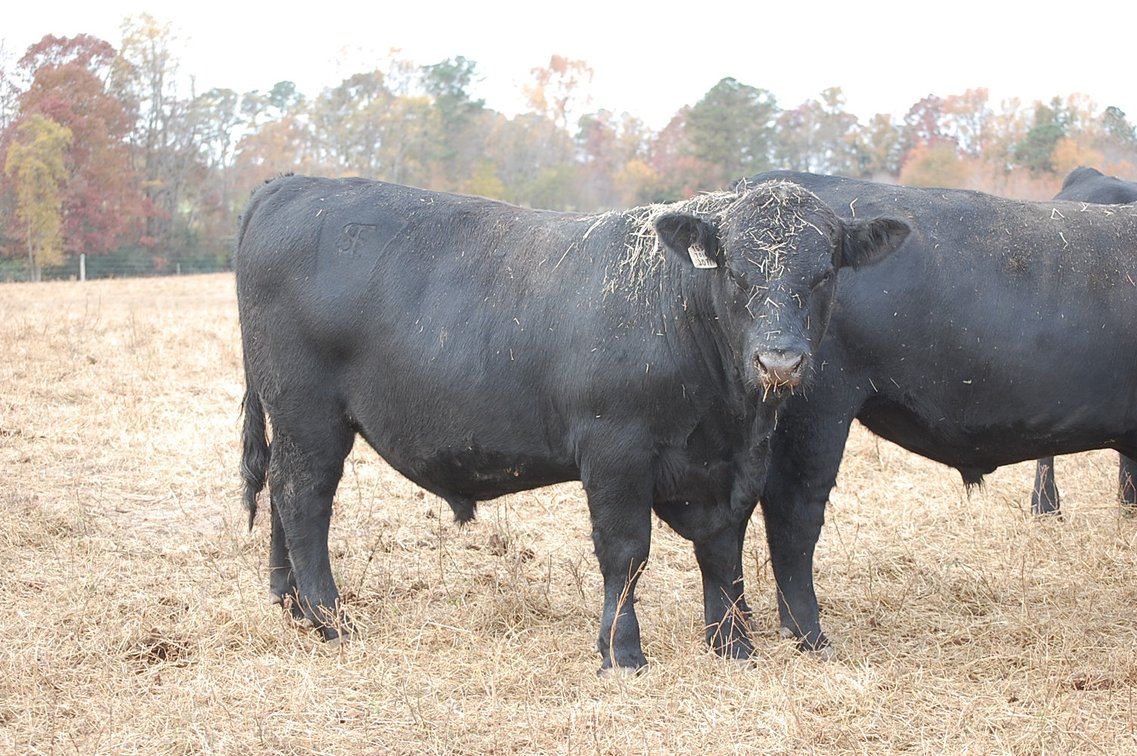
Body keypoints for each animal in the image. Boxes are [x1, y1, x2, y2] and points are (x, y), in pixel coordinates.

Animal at [235, 174, 910, 672]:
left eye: (823, 274)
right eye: (736, 273)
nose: (780, 361)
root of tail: (292, 185)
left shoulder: (737, 463)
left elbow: (723, 548)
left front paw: (733, 645)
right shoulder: (615, 450)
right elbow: (626, 552)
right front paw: (622, 652)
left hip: (292, 421)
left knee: (282, 499)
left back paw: (294, 607)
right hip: (309, 416)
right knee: (302, 499)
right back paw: (331, 619)